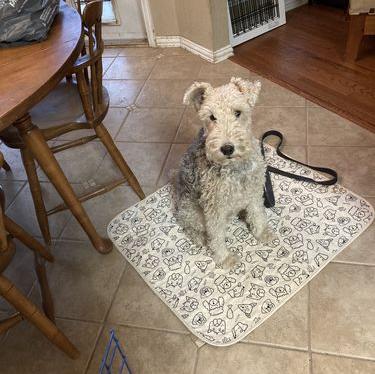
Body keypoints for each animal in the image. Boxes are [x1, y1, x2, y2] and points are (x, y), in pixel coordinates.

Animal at [173, 77, 274, 268]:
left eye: (238, 112)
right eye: (212, 116)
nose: (227, 148)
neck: (234, 167)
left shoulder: (254, 191)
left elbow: (257, 213)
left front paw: (262, 233)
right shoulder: (214, 207)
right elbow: (217, 236)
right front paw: (225, 258)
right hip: (192, 212)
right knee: (190, 226)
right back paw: (200, 238)